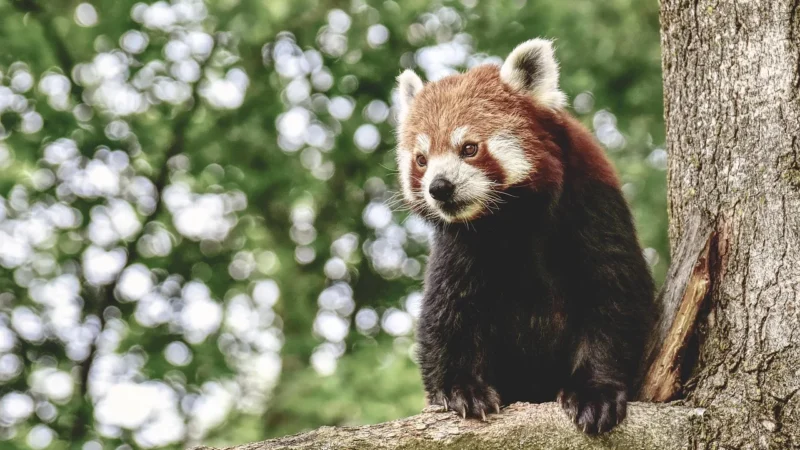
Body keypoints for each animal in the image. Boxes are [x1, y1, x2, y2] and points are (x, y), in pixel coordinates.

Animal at [394, 38, 656, 434]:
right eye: (421, 159)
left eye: (469, 148)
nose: (439, 187)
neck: (511, 221)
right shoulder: (460, 245)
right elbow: (446, 313)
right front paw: (462, 390)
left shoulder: (593, 206)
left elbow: (613, 297)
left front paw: (595, 393)